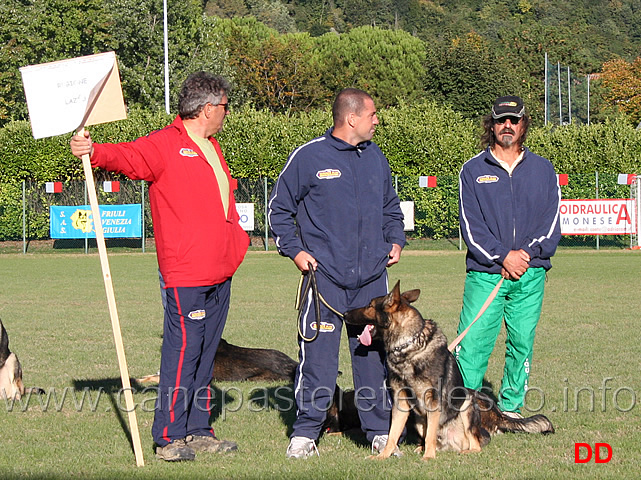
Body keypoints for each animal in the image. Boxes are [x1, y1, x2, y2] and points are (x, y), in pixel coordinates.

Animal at [342, 282, 552, 462]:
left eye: (369, 305)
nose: (344, 313)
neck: (409, 347)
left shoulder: (433, 402)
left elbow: (429, 436)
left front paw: (428, 457)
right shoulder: (401, 403)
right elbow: (393, 433)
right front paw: (383, 456)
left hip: (467, 404)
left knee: (476, 444)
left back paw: (461, 451)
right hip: (419, 420)